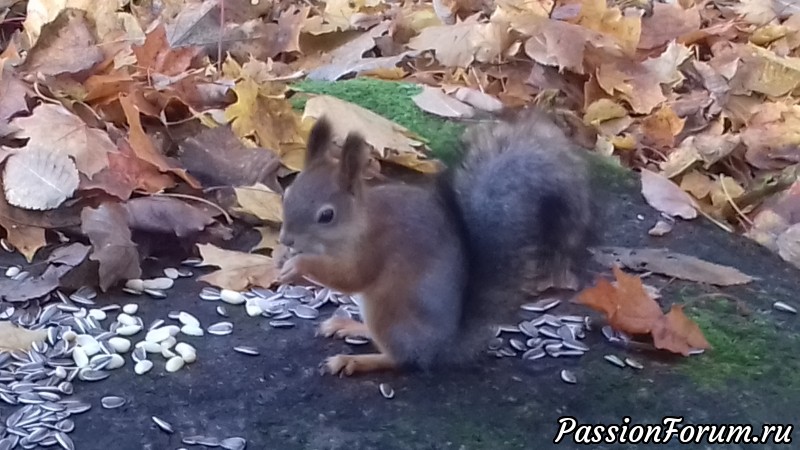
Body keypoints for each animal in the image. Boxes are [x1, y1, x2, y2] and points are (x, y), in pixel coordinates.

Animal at [278, 109, 596, 376]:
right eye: (288, 193)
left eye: (326, 216)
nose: (285, 239)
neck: (356, 224)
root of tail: (444, 346)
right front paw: (283, 259)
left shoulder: (375, 247)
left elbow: (351, 277)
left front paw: (298, 265)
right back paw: (349, 325)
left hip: (390, 310)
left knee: (401, 358)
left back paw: (355, 361)